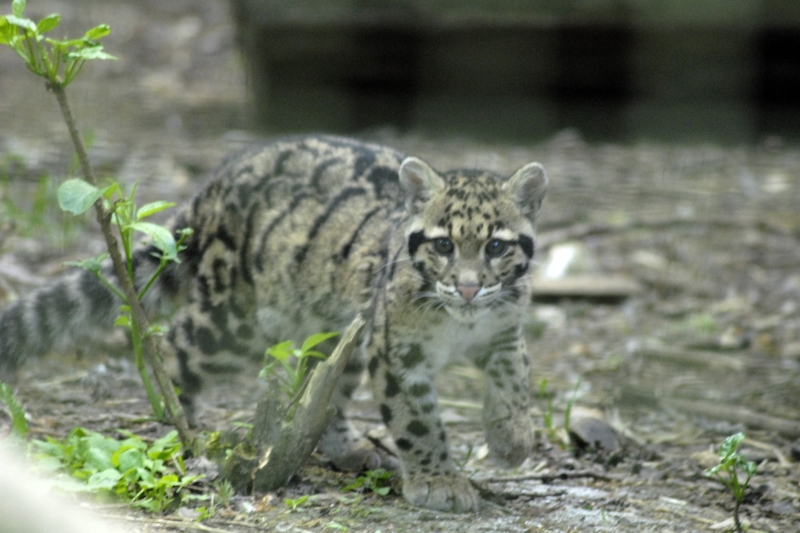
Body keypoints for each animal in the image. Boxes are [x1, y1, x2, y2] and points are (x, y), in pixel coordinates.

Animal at [0, 135, 548, 512]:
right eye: (443, 245)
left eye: (496, 246)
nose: (469, 288)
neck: (464, 323)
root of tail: (213, 188)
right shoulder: (397, 350)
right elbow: (417, 419)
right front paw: (439, 480)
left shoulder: (503, 331)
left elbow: (516, 379)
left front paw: (512, 438)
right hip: (232, 325)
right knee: (173, 349)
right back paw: (180, 424)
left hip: (334, 328)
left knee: (322, 382)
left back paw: (348, 446)